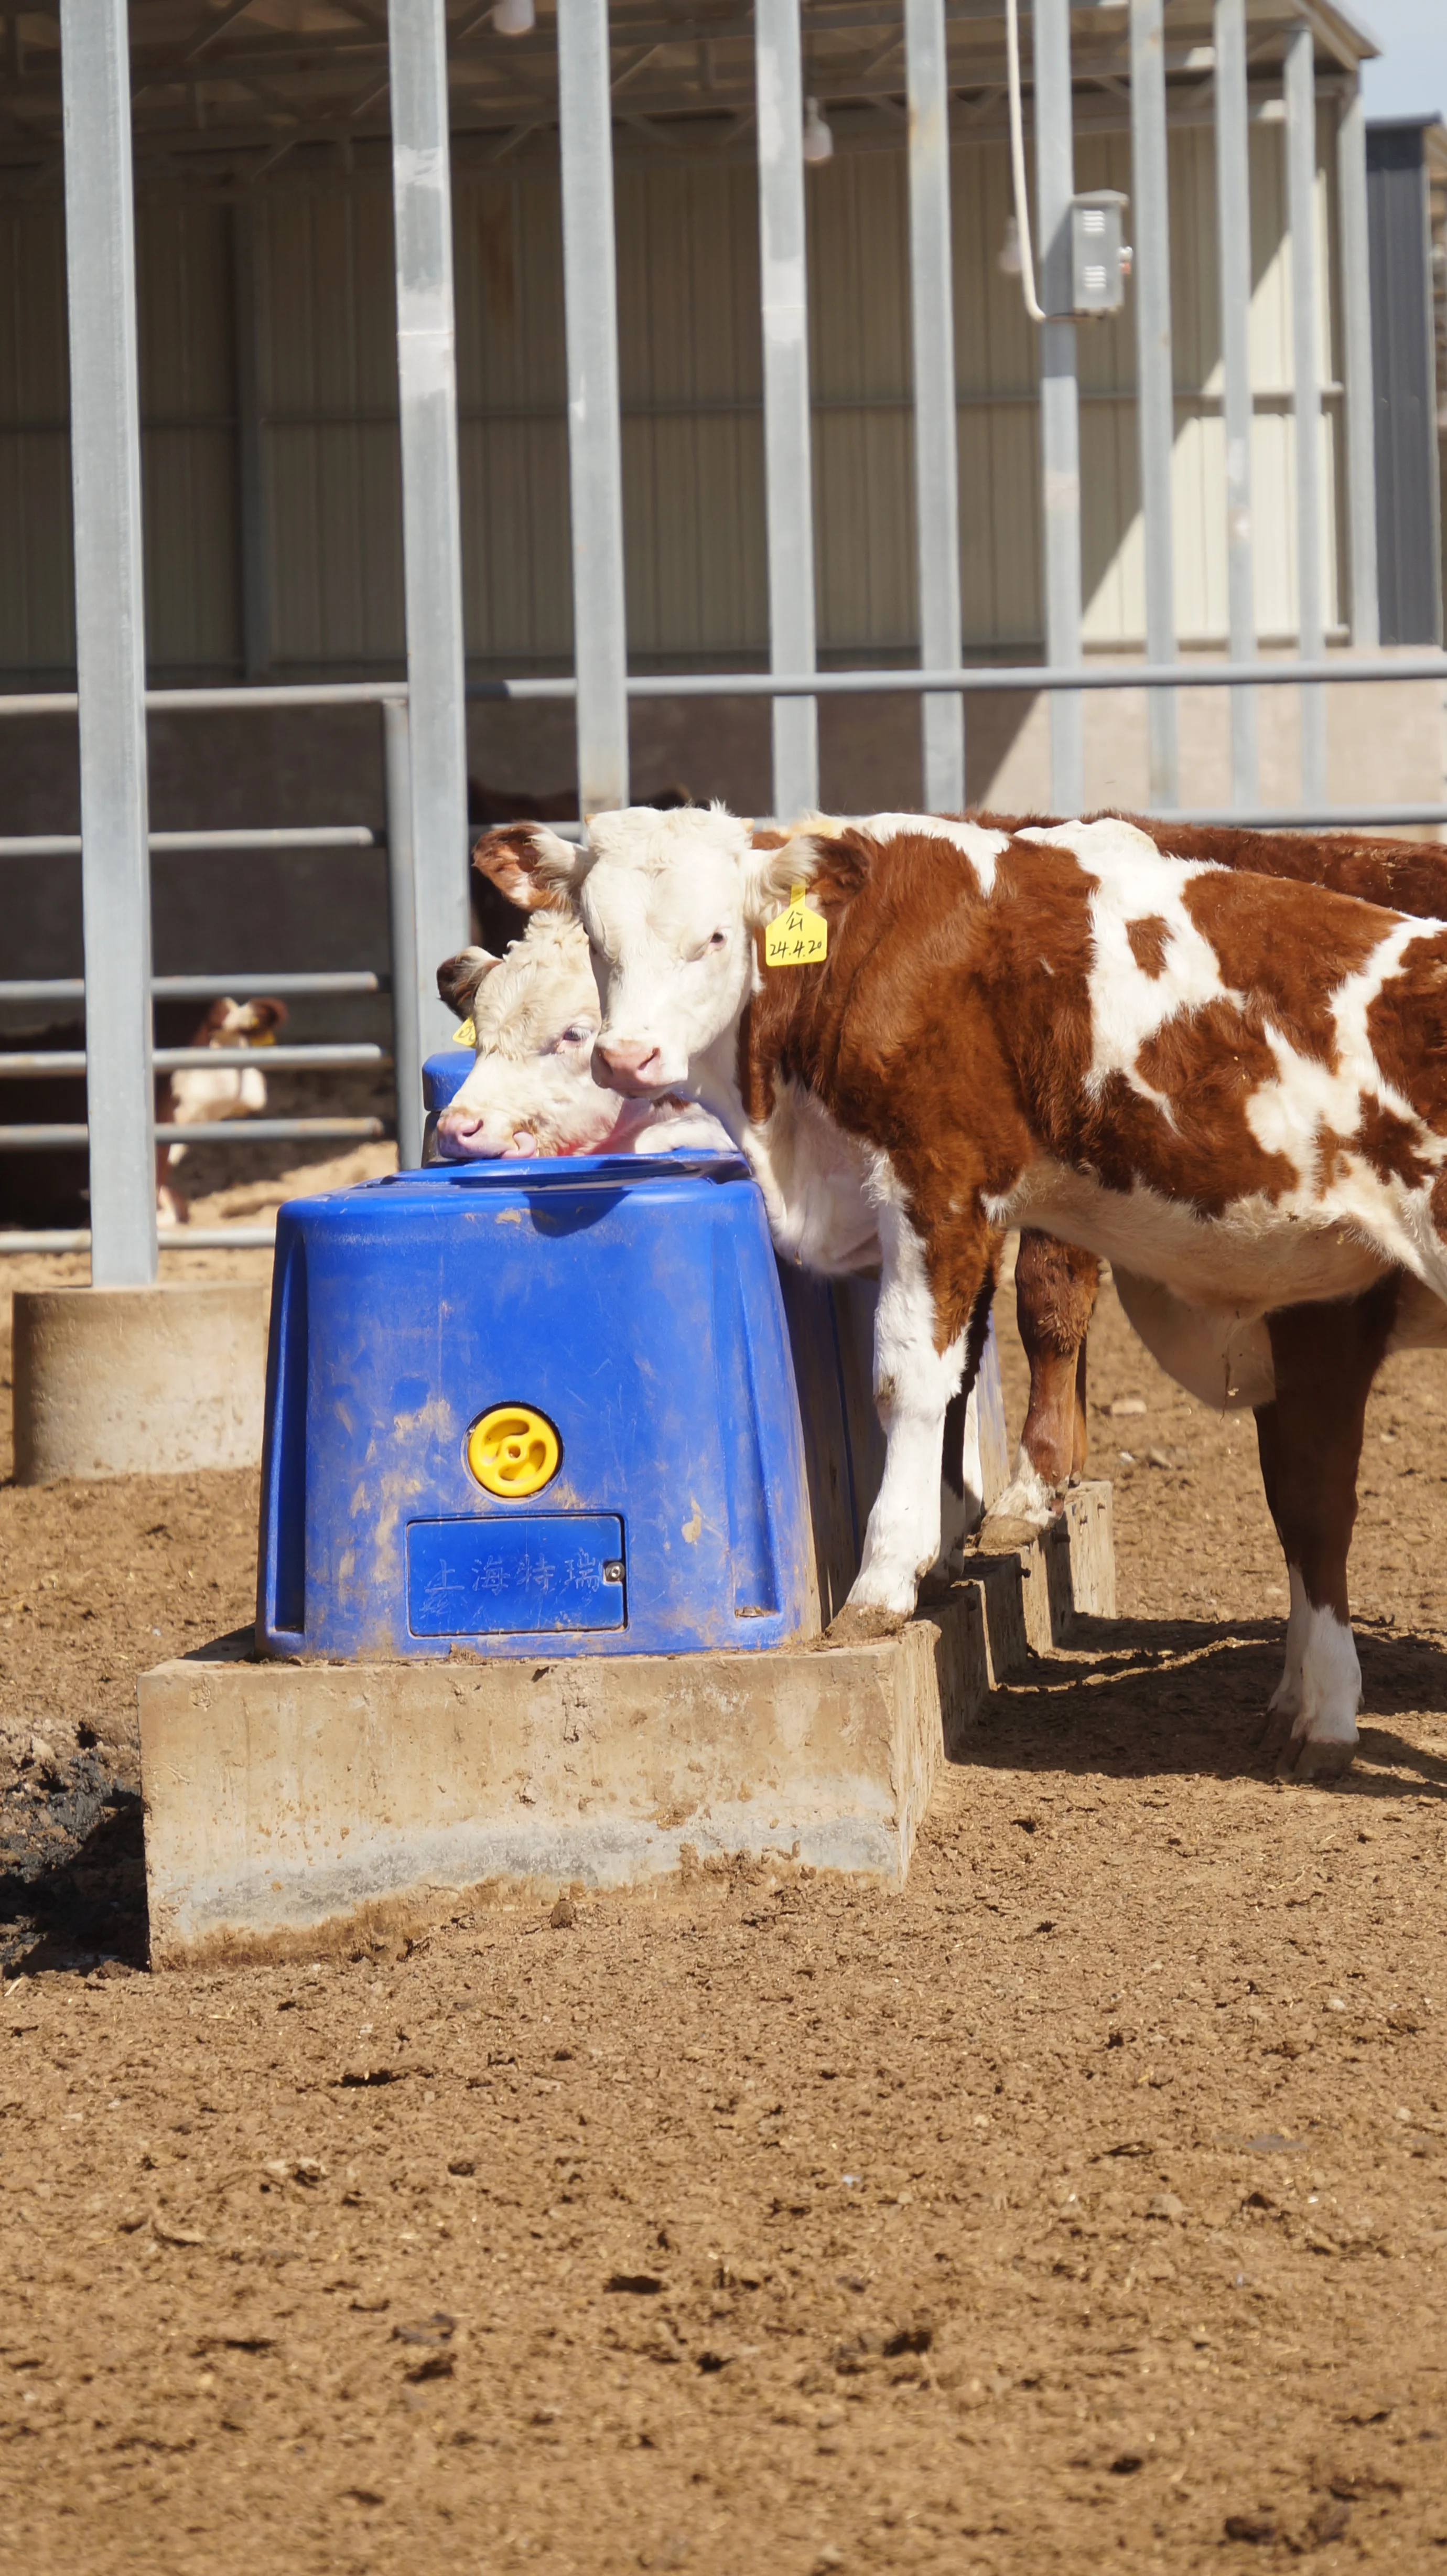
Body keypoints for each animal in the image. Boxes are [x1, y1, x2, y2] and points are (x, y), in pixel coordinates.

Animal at [475, 802, 1447, 1782]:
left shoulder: (938, 1177)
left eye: (713, 936)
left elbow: (914, 1374)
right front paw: (943, 1545)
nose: (627, 1055)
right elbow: (961, 1367)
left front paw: (886, 1574)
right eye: (600, 938)